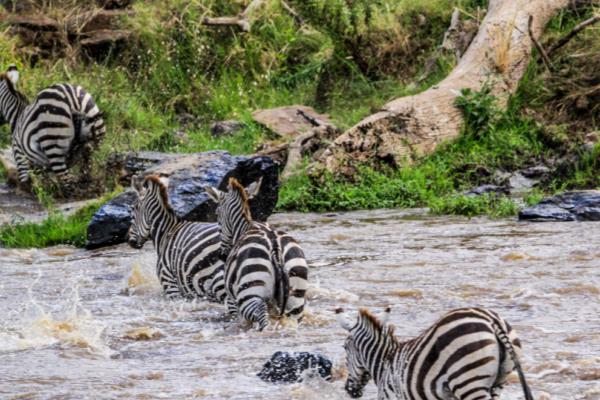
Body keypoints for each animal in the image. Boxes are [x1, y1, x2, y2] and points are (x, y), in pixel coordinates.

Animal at [206, 178, 310, 332]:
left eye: (217, 214)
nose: (222, 255)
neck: (244, 228)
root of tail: (275, 248)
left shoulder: (233, 300)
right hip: (296, 294)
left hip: (250, 293)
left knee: (264, 321)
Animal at [338, 308, 536, 398]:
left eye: (344, 348)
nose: (349, 390)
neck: (384, 363)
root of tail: (491, 320)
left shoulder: (392, 396)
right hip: (496, 383)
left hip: (468, 382)